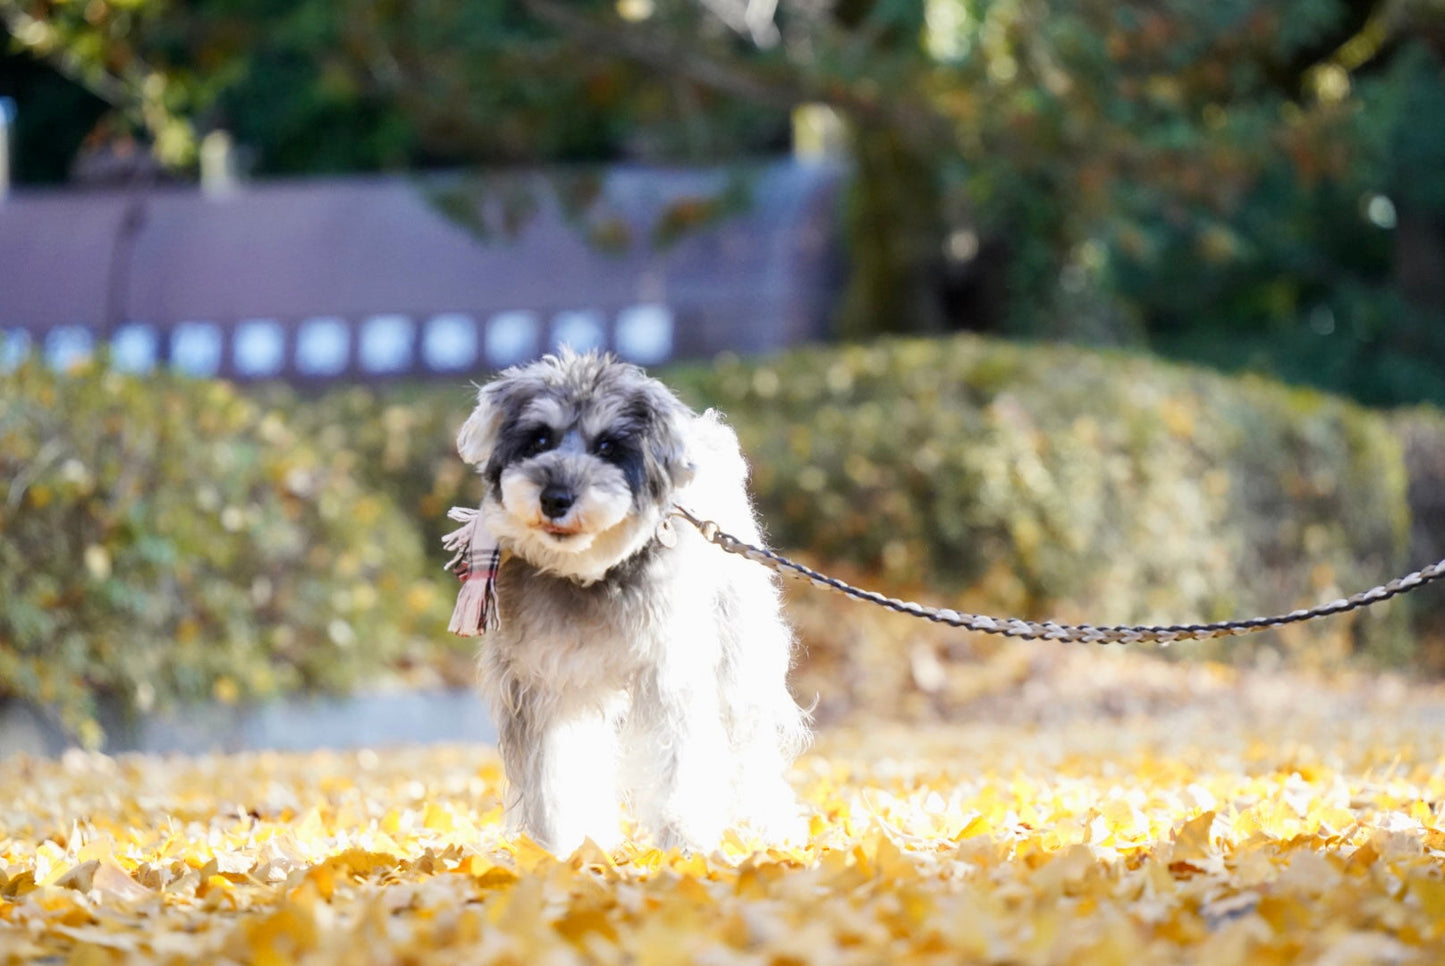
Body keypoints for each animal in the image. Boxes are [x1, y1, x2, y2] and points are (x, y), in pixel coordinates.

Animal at [447, 347, 809, 849]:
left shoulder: (670, 674)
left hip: (739, 662)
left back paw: (768, 825)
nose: (555, 498)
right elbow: (553, 770)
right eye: (539, 438)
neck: (586, 574)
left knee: (750, 746)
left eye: (607, 447)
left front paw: (683, 838)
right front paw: (557, 845)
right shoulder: (543, 682)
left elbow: (681, 762)